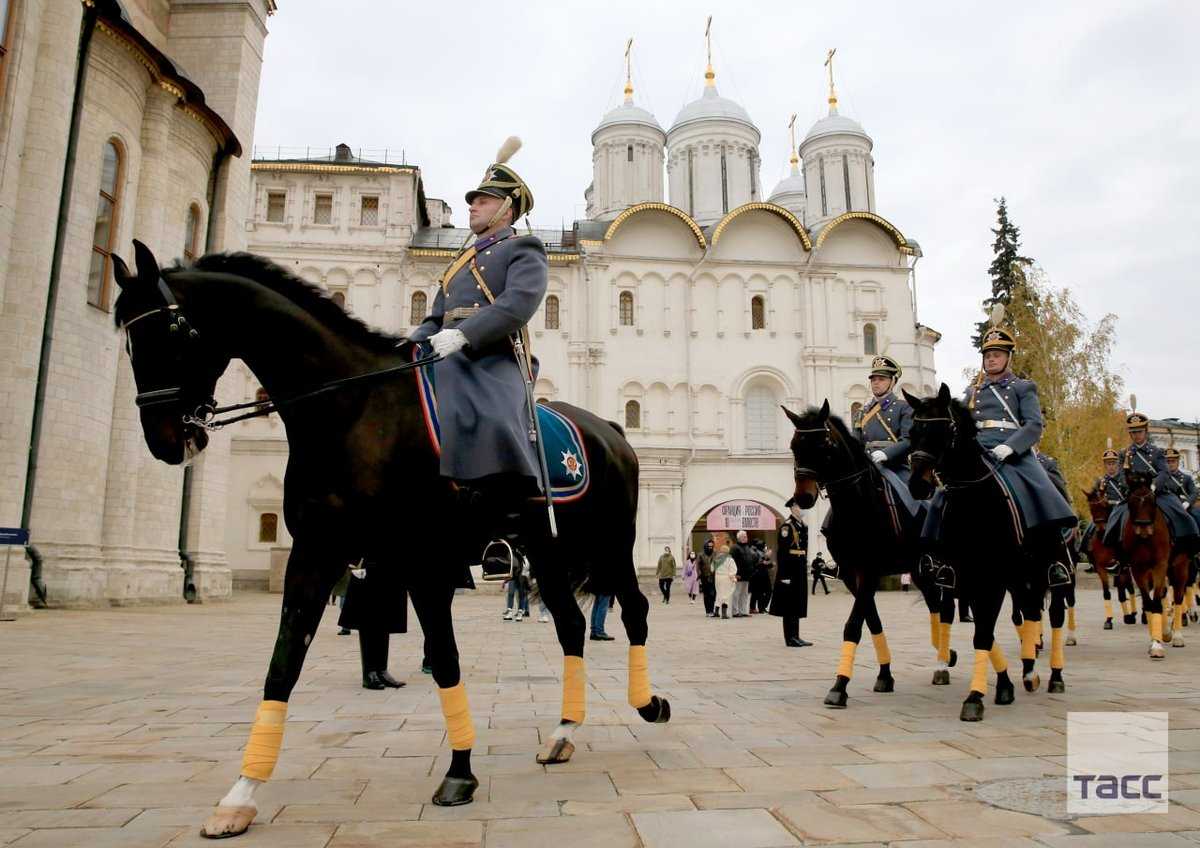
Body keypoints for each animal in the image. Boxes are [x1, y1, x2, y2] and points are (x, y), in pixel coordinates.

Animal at [108, 242, 672, 839]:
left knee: (634, 611)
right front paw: (240, 794)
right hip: (546, 551)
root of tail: (612, 429)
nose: (166, 441)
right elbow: (283, 664)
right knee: (569, 625)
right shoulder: (316, 555)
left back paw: (648, 704)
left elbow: (444, 658)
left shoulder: (422, 560)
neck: (352, 411)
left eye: (172, 333)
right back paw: (564, 732)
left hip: (610, 544)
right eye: (130, 340)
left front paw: (459, 773)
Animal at [782, 400, 960, 705]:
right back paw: (944, 657)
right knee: (934, 607)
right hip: (919, 569)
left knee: (946, 607)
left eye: (823, 445)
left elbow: (854, 625)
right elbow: (872, 621)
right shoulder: (852, 574)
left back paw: (945, 662)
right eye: (795, 445)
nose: (803, 497)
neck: (857, 506)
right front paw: (884, 675)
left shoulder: (869, 571)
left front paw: (839, 686)